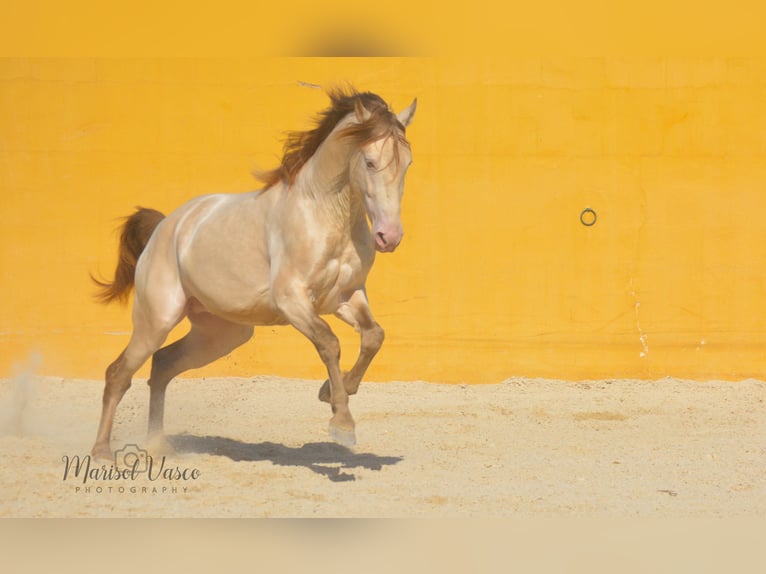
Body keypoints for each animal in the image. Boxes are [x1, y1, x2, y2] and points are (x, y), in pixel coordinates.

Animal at [91, 88, 420, 462]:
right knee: (118, 373)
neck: (325, 214)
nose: (389, 237)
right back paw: (101, 451)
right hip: (156, 321)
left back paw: (159, 445)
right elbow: (329, 343)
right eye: (369, 162)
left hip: (221, 334)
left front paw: (332, 393)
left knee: (162, 365)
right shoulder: (292, 299)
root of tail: (165, 227)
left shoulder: (346, 297)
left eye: (408, 163)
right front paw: (342, 422)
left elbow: (374, 336)